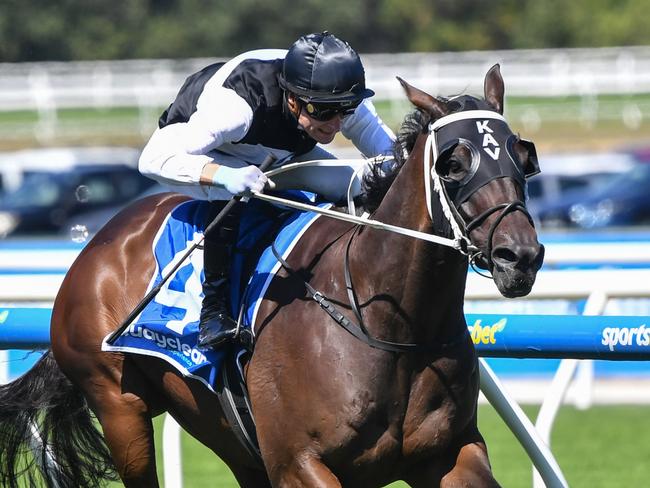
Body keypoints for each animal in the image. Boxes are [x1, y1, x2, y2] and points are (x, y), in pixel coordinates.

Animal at [0, 66, 540, 488]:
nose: (521, 256)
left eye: (521, 155)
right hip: (119, 407)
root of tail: (100, 241)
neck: (388, 323)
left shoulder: (451, 453)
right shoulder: (299, 464)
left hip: (223, 432)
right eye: (453, 163)